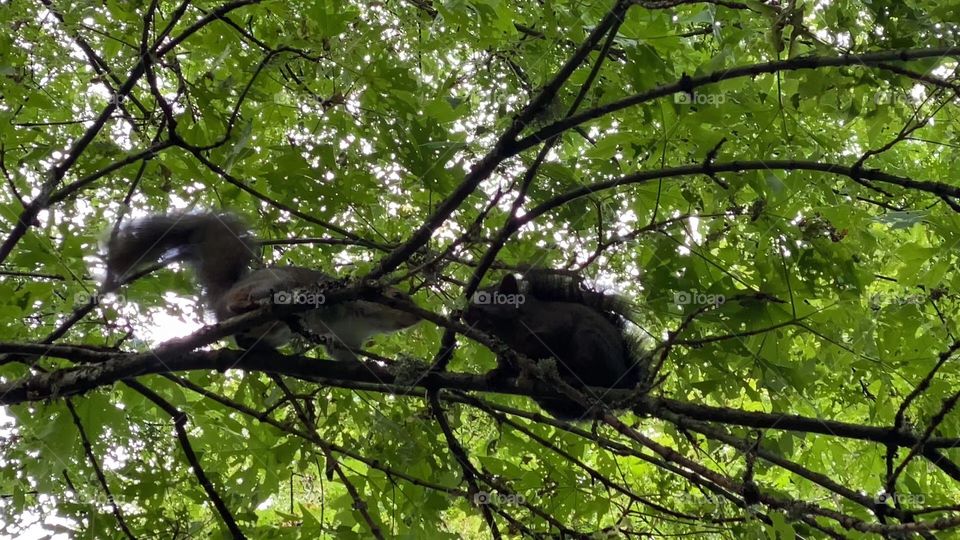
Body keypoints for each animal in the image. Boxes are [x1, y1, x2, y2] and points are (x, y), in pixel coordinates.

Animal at [105, 212, 420, 361]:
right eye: (397, 296)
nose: (416, 318)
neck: (368, 320)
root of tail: (220, 299)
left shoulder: (352, 338)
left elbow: (344, 355)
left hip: (276, 332)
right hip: (270, 285)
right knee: (243, 302)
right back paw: (252, 304)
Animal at [463, 272, 647, 420]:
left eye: (491, 297)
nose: (466, 312)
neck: (505, 333)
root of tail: (626, 379)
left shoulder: (554, 325)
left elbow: (543, 345)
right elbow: (505, 364)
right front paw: (496, 373)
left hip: (591, 343)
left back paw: (572, 379)